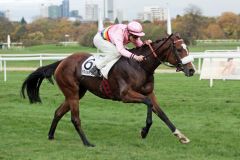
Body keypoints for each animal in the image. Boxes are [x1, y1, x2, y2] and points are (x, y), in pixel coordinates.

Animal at [21, 33, 195, 147]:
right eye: (179, 49)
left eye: (186, 48)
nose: (192, 70)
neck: (140, 66)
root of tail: (62, 61)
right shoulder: (125, 95)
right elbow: (148, 104)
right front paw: (144, 131)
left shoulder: (149, 93)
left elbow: (162, 114)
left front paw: (181, 136)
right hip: (72, 93)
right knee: (75, 118)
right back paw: (87, 142)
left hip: (76, 93)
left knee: (58, 112)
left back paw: (51, 135)